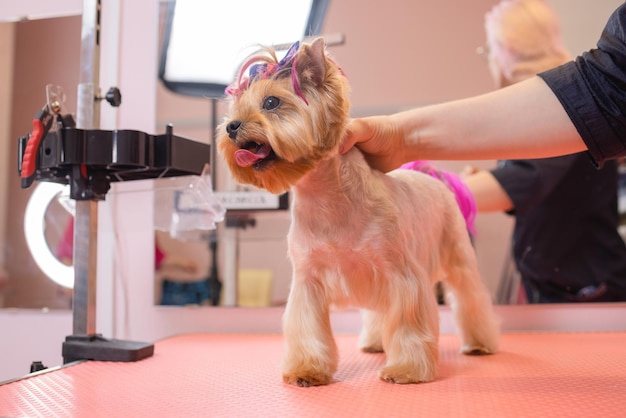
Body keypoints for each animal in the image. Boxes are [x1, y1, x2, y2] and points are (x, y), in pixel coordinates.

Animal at [218, 38, 498, 386]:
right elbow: (307, 325)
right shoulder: (309, 279)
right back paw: (375, 343)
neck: (323, 196)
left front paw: (406, 370)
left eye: (271, 102)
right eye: (233, 109)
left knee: (470, 297)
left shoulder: (402, 276)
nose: (231, 127)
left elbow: (407, 322)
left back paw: (480, 343)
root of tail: (431, 175)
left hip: (458, 255)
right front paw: (307, 370)